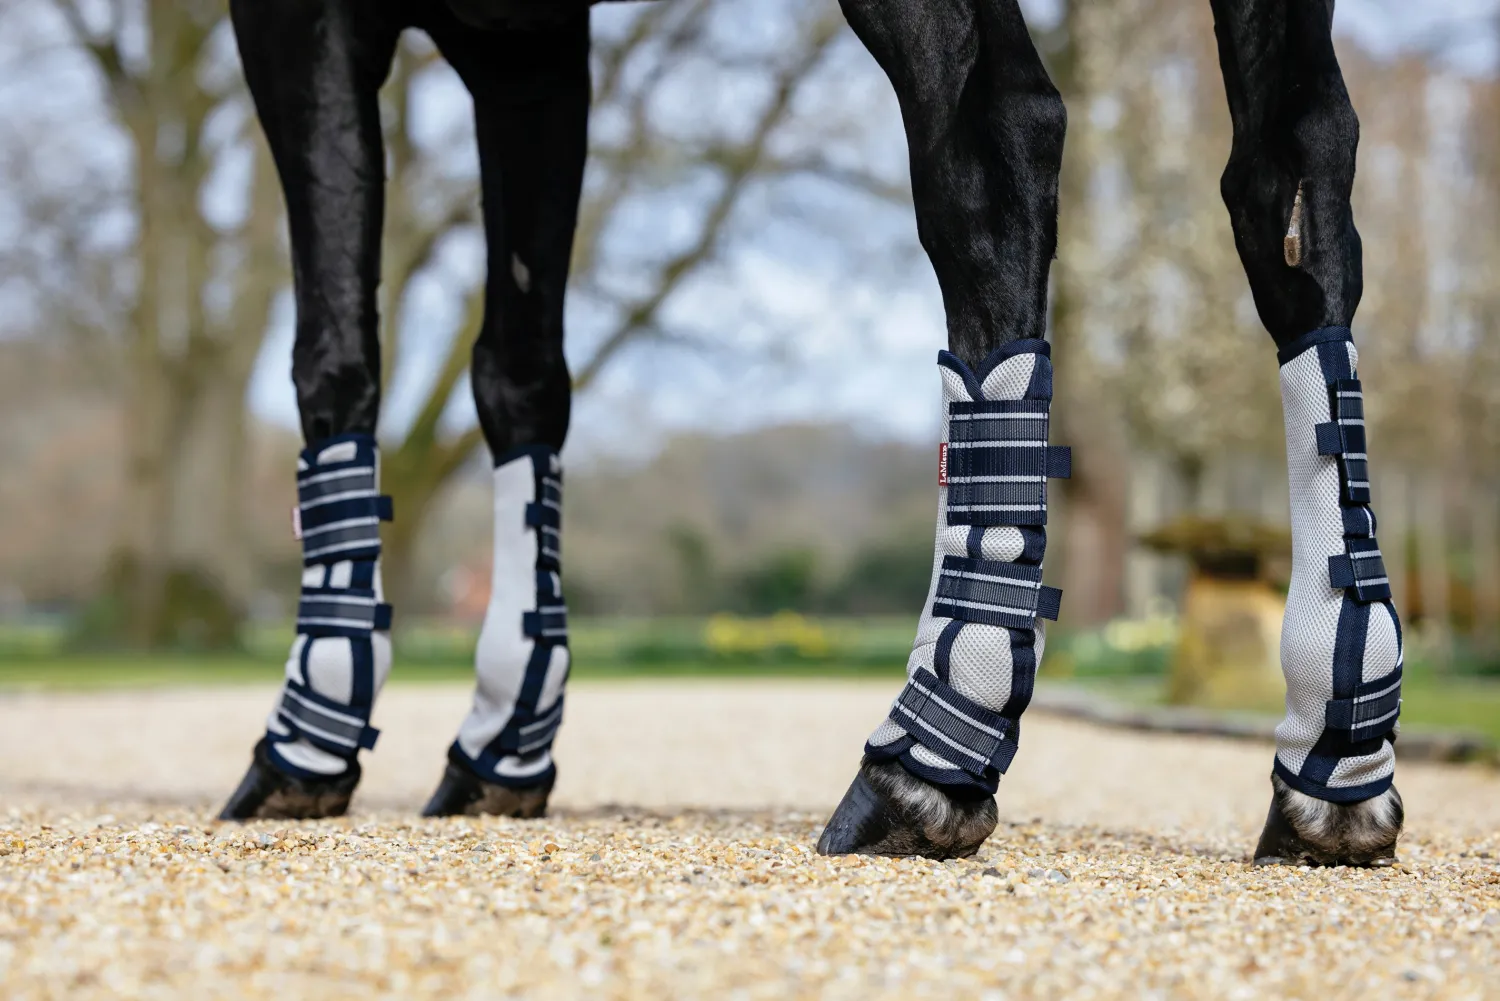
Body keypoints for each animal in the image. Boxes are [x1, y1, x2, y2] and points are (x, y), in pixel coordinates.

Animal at [219, 0, 1404, 867]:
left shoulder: (311, 14)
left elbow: (333, 350)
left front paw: (310, 738)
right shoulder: (529, 45)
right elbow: (519, 372)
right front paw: (508, 732)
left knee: (995, 134)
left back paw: (931, 742)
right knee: (1295, 176)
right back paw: (1339, 736)